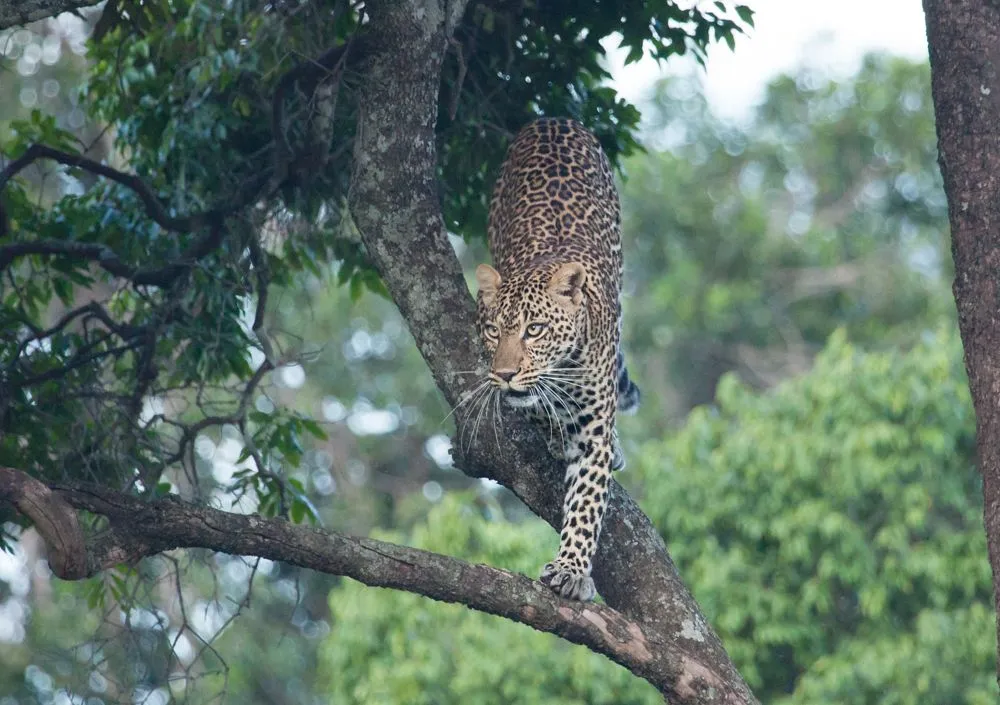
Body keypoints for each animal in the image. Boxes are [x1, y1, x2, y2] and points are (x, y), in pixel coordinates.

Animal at [474, 115, 640, 600]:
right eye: (494, 331)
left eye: (535, 330)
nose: (505, 374)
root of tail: (551, 119)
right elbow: (537, 408)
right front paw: (549, 427)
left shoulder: (594, 430)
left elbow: (586, 502)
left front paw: (571, 569)